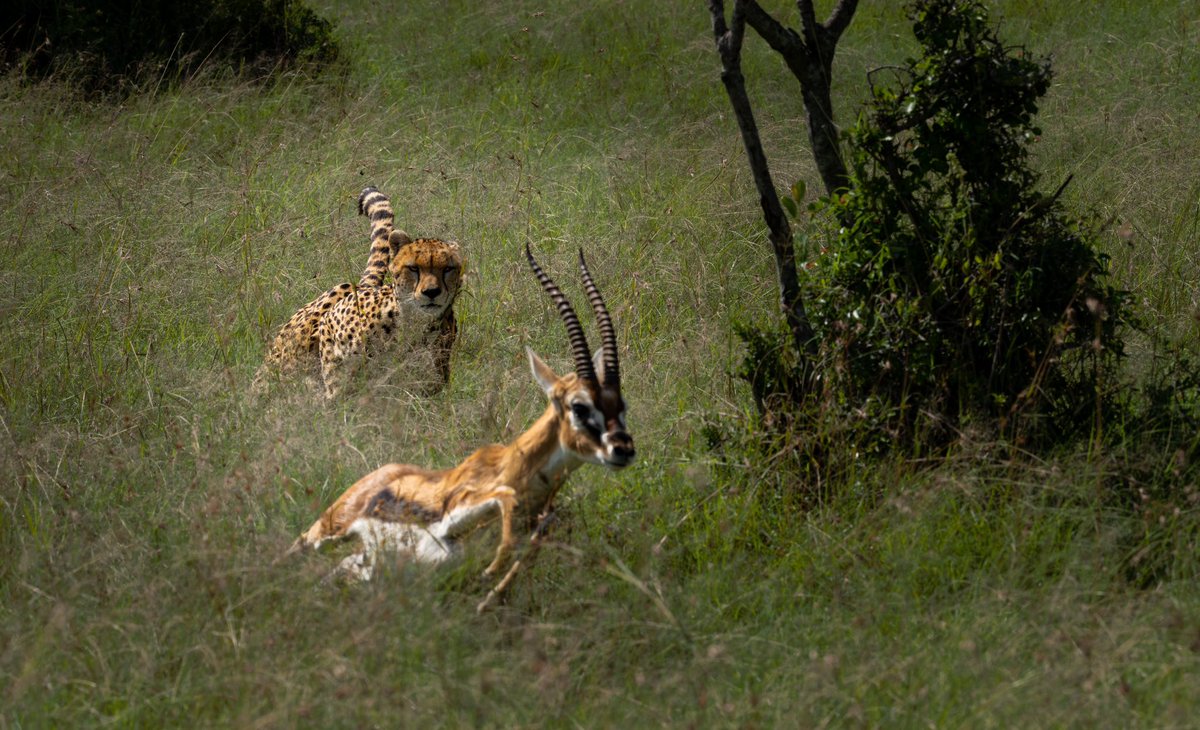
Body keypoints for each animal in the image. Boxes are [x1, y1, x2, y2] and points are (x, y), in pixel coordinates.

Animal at [252, 186, 463, 399]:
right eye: (413, 268)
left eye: (447, 269)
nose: (431, 292)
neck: (414, 323)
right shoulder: (329, 326)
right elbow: (336, 376)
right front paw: (336, 397)